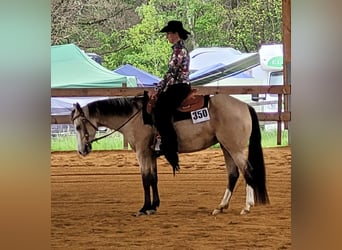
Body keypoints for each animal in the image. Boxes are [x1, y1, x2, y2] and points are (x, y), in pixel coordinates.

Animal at [71, 91, 270, 215]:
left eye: (78, 126)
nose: (81, 150)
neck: (135, 117)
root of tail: (244, 106)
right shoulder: (151, 155)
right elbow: (153, 178)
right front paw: (153, 206)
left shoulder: (142, 153)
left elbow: (145, 180)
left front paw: (144, 208)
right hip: (225, 146)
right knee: (233, 174)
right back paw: (221, 206)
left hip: (235, 148)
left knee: (248, 171)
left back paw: (247, 206)